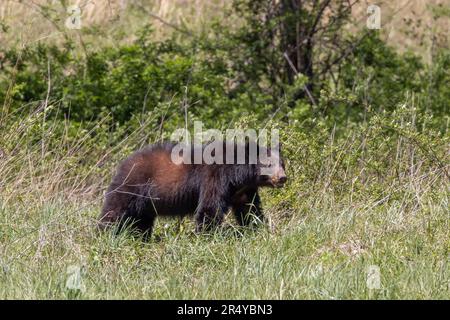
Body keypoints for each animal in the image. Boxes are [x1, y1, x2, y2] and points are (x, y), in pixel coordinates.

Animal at [99, 141, 288, 236]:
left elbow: (249, 209)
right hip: (132, 186)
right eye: (269, 164)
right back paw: (105, 234)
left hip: (145, 204)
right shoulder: (214, 177)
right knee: (115, 211)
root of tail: (123, 163)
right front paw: (206, 234)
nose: (282, 177)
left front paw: (256, 227)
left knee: (141, 221)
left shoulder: (242, 190)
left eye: (282, 163)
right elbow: (210, 207)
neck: (236, 174)